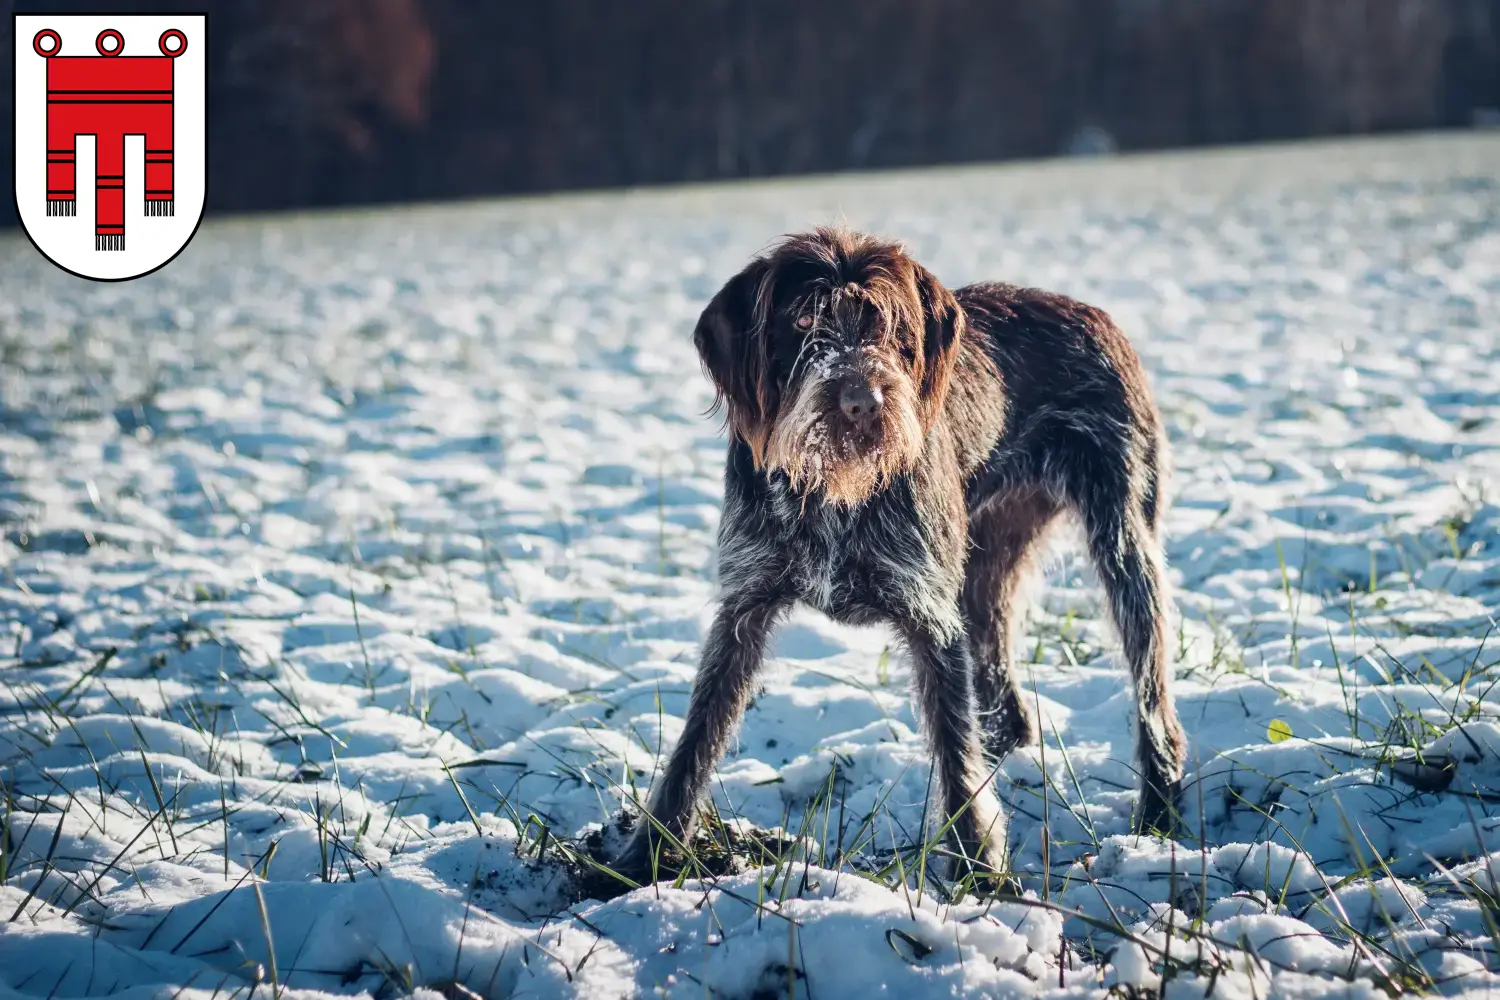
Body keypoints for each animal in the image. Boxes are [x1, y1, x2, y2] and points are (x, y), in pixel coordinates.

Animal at [609, 224, 1182, 881]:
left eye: (889, 325)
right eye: (804, 320)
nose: (865, 401)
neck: (832, 488)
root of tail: (1095, 313)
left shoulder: (930, 613)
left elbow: (955, 751)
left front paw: (978, 867)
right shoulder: (743, 609)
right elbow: (696, 742)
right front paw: (644, 858)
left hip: (1124, 542)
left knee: (1151, 692)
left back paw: (1159, 808)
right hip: (988, 565)